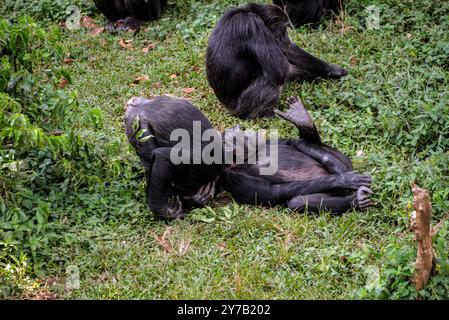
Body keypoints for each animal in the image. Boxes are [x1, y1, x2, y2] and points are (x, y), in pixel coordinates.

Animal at [206, 2, 346, 120]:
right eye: (284, 27)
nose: (285, 36)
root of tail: (228, 108)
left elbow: (288, 49)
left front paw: (333, 70)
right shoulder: (253, 26)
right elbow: (279, 69)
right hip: (243, 106)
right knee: (271, 81)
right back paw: (263, 115)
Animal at [220, 96, 372, 214]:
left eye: (241, 130)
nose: (246, 130)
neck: (250, 155)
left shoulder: (272, 141)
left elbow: (295, 142)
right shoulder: (234, 179)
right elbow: (275, 191)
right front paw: (344, 179)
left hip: (344, 158)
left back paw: (303, 121)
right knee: (298, 201)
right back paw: (355, 200)